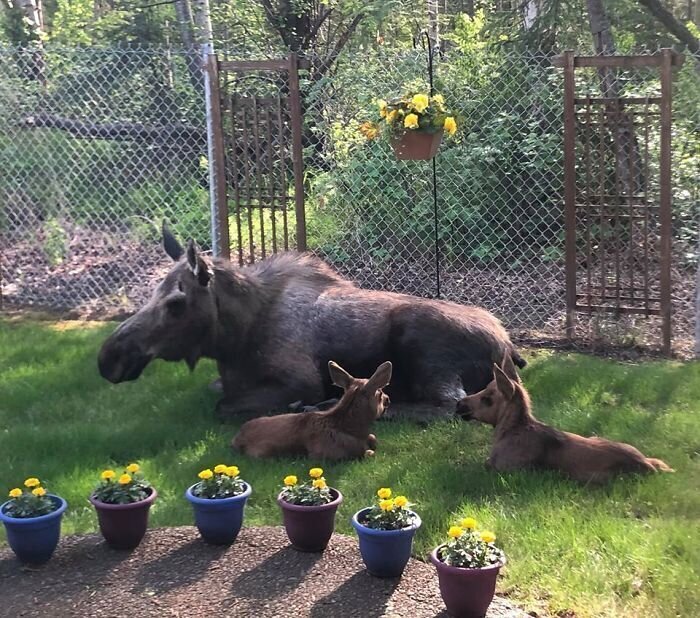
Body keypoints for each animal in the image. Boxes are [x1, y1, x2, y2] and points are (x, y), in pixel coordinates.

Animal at [98, 226, 524, 418]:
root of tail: (508, 347)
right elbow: (215, 391)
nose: (108, 357)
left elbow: (223, 406)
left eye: (176, 303)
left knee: (448, 406)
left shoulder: (299, 378)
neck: (233, 340)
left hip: (425, 351)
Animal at [231, 360, 392, 458]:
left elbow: (373, 438)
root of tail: (236, 439)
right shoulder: (323, 454)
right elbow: (369, 453)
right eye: (380, 393)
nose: (388, 399)